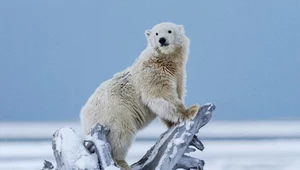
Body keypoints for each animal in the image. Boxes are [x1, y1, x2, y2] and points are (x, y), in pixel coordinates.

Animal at [80, 22, 199, 169]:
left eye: (169, 31)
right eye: (156, 33)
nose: (162, 40)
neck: (165, 60)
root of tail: (84, 118)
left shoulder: (178, 75)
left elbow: (172, 98)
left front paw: (174, 124)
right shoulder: (153, 73)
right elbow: (161, 95)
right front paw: (191, 110)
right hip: (114, 114)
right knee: (121, 135)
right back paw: (122, 162)